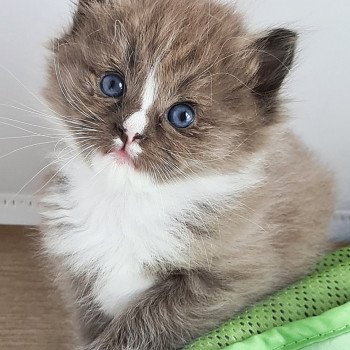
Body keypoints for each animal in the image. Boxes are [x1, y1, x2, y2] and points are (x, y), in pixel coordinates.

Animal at [39, 0, 334, 350]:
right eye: (112, 84)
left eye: (182, 116)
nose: (129, 133)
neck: (124, 203)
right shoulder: (78, 279)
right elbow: (92, 329)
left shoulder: (228, 277)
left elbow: (142, 325)